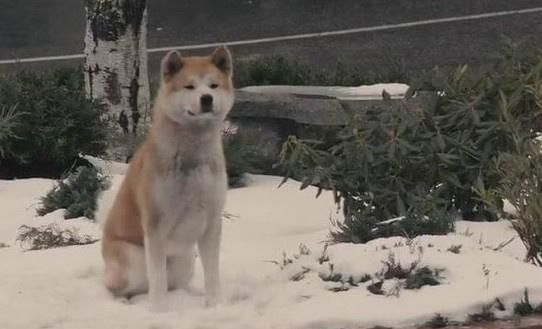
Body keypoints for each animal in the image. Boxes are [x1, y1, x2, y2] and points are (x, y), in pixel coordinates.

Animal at [101, 45, 235, 310]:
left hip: (185, 261)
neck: (192, 157)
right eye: (189, 86)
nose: (207, 99)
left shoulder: (212, 222)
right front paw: (159, 311)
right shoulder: (155, 225)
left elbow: (212, 273)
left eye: (213, 85)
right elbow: (158, 278)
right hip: (133, 262)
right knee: (120, 286)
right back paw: (124, 302)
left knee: (174, 283)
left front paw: (215, 305)